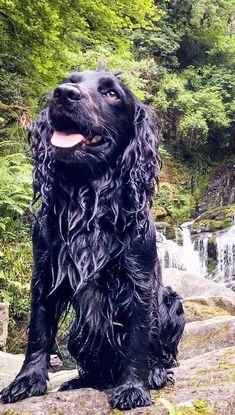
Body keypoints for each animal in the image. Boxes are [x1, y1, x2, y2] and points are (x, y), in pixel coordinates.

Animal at [1, 63, 185, 412]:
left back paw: (156, 373)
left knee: (161, 353)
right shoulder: (44, 273)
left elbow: (138, 338)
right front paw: (27, 381)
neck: (87, 195)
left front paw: (133, 388)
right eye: (69, 82)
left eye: (111, 93)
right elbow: (38, 332)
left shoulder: (138, 280)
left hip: (171, 301)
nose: (63, 94)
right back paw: (80, 380)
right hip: (78, 332)